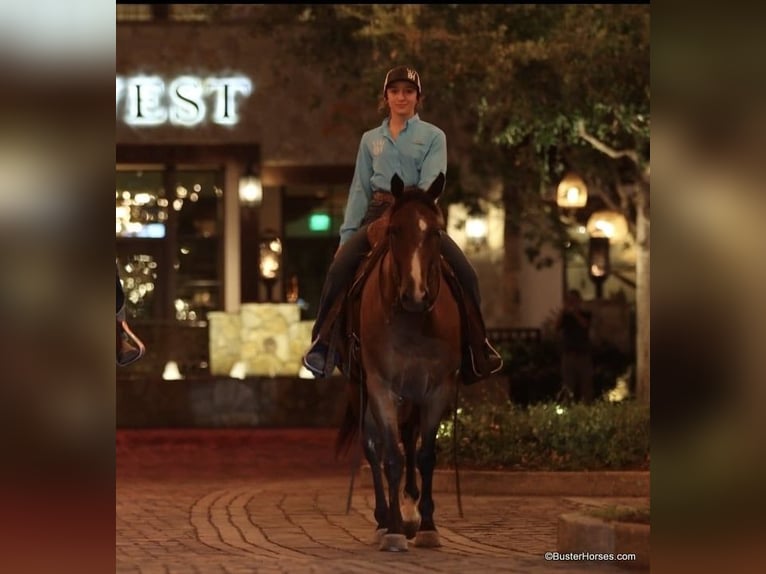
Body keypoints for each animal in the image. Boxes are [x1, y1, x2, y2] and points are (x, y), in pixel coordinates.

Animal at [338, 172, 462, 552]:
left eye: (435, 232)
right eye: (395, 231)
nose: (415, 294)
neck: (414, 320)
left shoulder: (437, 388)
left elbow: (424, 454)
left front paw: (427, 526)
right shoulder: (381, 386)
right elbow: (390, 454)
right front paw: (392, 529)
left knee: (408, 439)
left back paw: (409, 510)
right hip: (358, 387)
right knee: (374, 446)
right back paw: (384, 519)